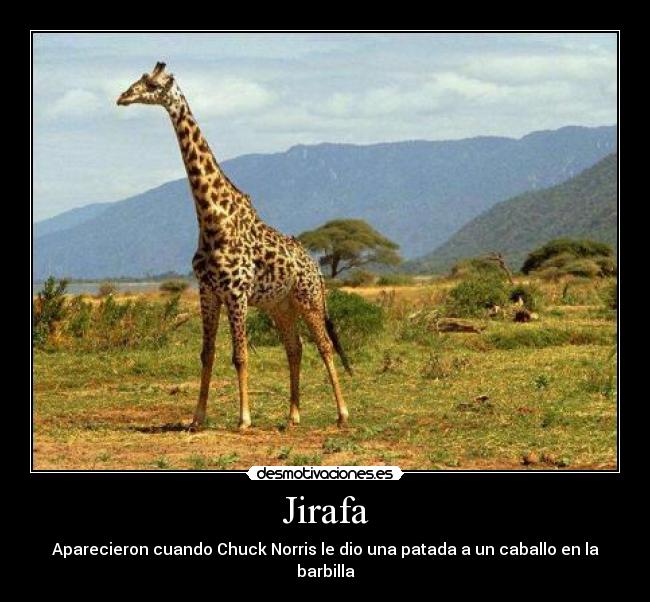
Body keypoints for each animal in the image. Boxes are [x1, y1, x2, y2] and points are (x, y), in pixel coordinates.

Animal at [117, 62, 351, 431]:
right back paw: (292, 416)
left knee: (325, 345)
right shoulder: (208, 292)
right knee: (295, 347)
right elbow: (207, 354)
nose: (123, 96)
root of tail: (315, 266)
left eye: (152, 84)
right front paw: (196, 418)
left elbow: (239, 355)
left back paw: (342, 414)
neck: (213, 218)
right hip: (278, 304)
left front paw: (244, 419)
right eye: (138, 80)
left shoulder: (236, 293)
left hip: (308, 298)